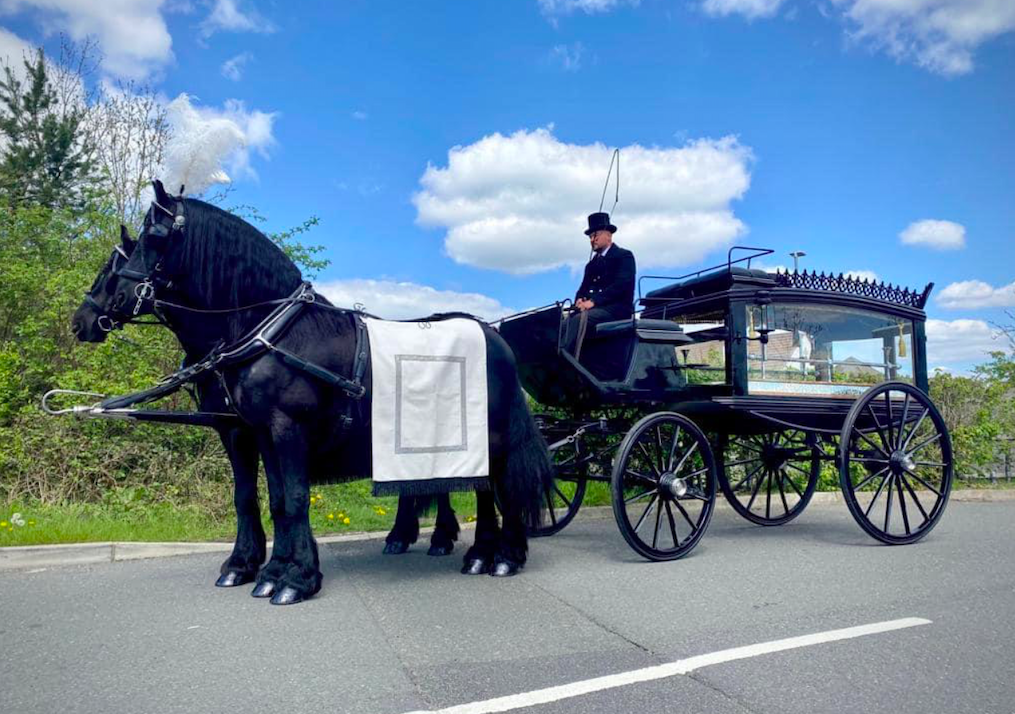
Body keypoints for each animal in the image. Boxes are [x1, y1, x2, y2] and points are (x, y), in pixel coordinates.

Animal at [74, 181, 552, 605]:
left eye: (154, 236)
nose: (82, 320)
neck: (267, 332)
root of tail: (492, 333)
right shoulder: (250, 432)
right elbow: (266, 499)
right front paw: (261, 569)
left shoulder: (287, 428)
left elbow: (296, 498)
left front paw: (296, 578)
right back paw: (466, 549)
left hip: (492, 436)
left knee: (494, 487)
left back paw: (502, 556)